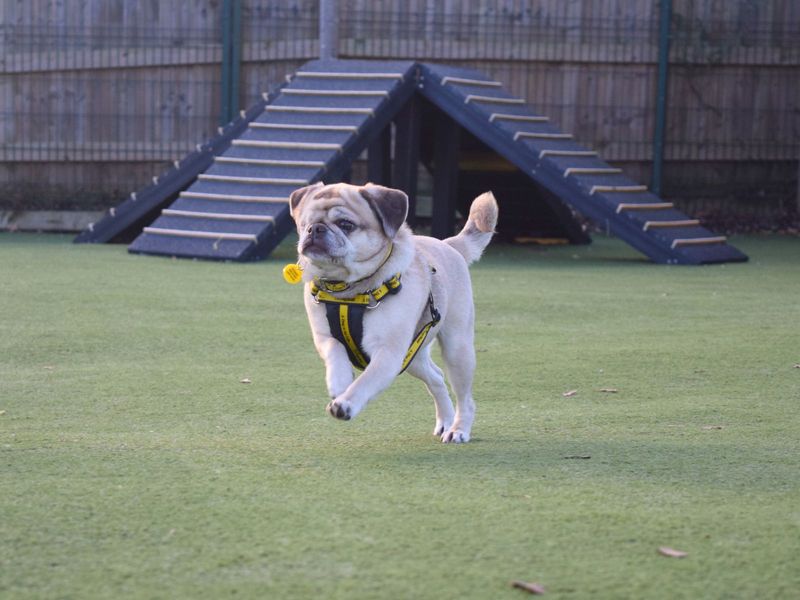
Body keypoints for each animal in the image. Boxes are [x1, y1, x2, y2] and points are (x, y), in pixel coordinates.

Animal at [290, 180, 496, 442]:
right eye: (303, 223)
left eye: (346, 225)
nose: (315, 229)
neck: (348, 291)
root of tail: (447, 244)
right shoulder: (325, 338)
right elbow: (335, 354)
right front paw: (339, 383)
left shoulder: (387, 354)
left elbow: (366, 382)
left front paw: (345, 403)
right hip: (413, 357)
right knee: (437, 377)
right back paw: (445, 421)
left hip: (456, 350)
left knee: (465, 398)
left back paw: (458, 430)